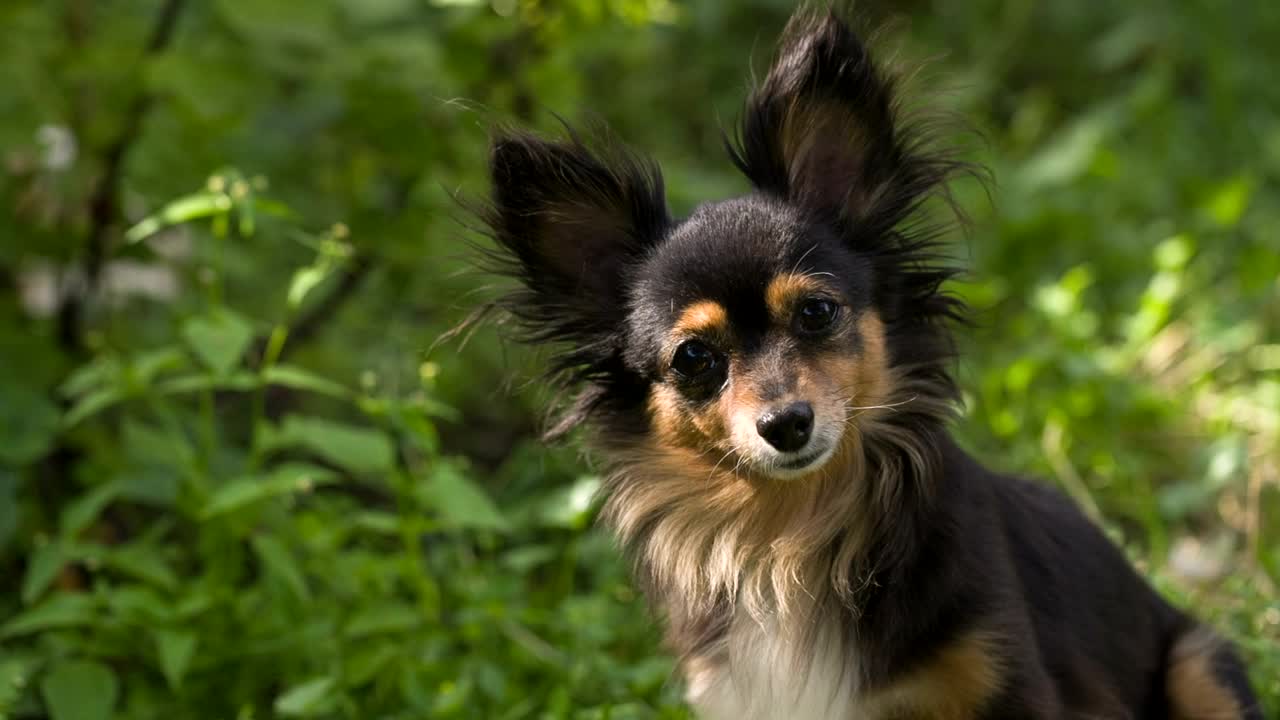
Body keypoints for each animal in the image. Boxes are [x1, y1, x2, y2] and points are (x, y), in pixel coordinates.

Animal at [473, 5, 1259, 717]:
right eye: (693, 357)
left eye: (817, 313)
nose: (786, 424)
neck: (790, 537)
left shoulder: (1008, 683)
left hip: (1199, 661)